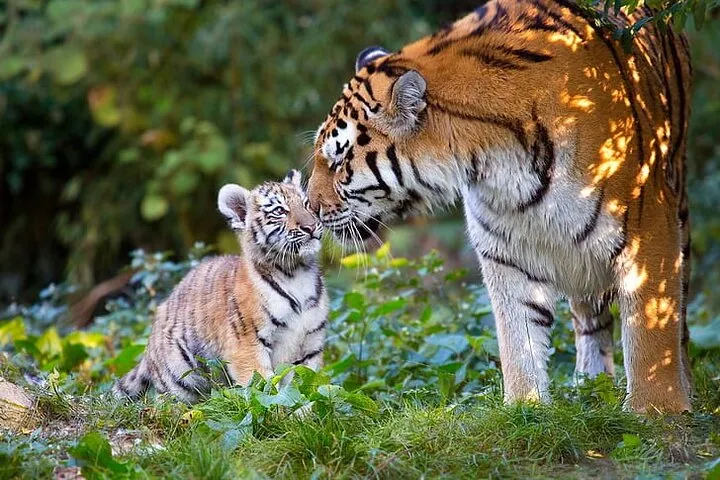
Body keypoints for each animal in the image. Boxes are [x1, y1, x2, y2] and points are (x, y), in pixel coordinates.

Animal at [113, 171, 328, 403]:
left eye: (306, 204)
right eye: (279, 211)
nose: (311, 226)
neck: (297, 272)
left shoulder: (311, 344)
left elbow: (307, 383)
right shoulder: (247, 344)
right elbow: (264, 389)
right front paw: (281, 408)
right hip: (180, 376)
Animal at [306, 0, 692, 413]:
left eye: (338, 161)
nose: (310, 207)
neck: (498, 163)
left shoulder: (647, 230)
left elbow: (650, 331)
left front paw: (657, 411)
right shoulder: (505, 251)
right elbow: (518, 338)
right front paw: (526, 407)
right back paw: (590, 383)